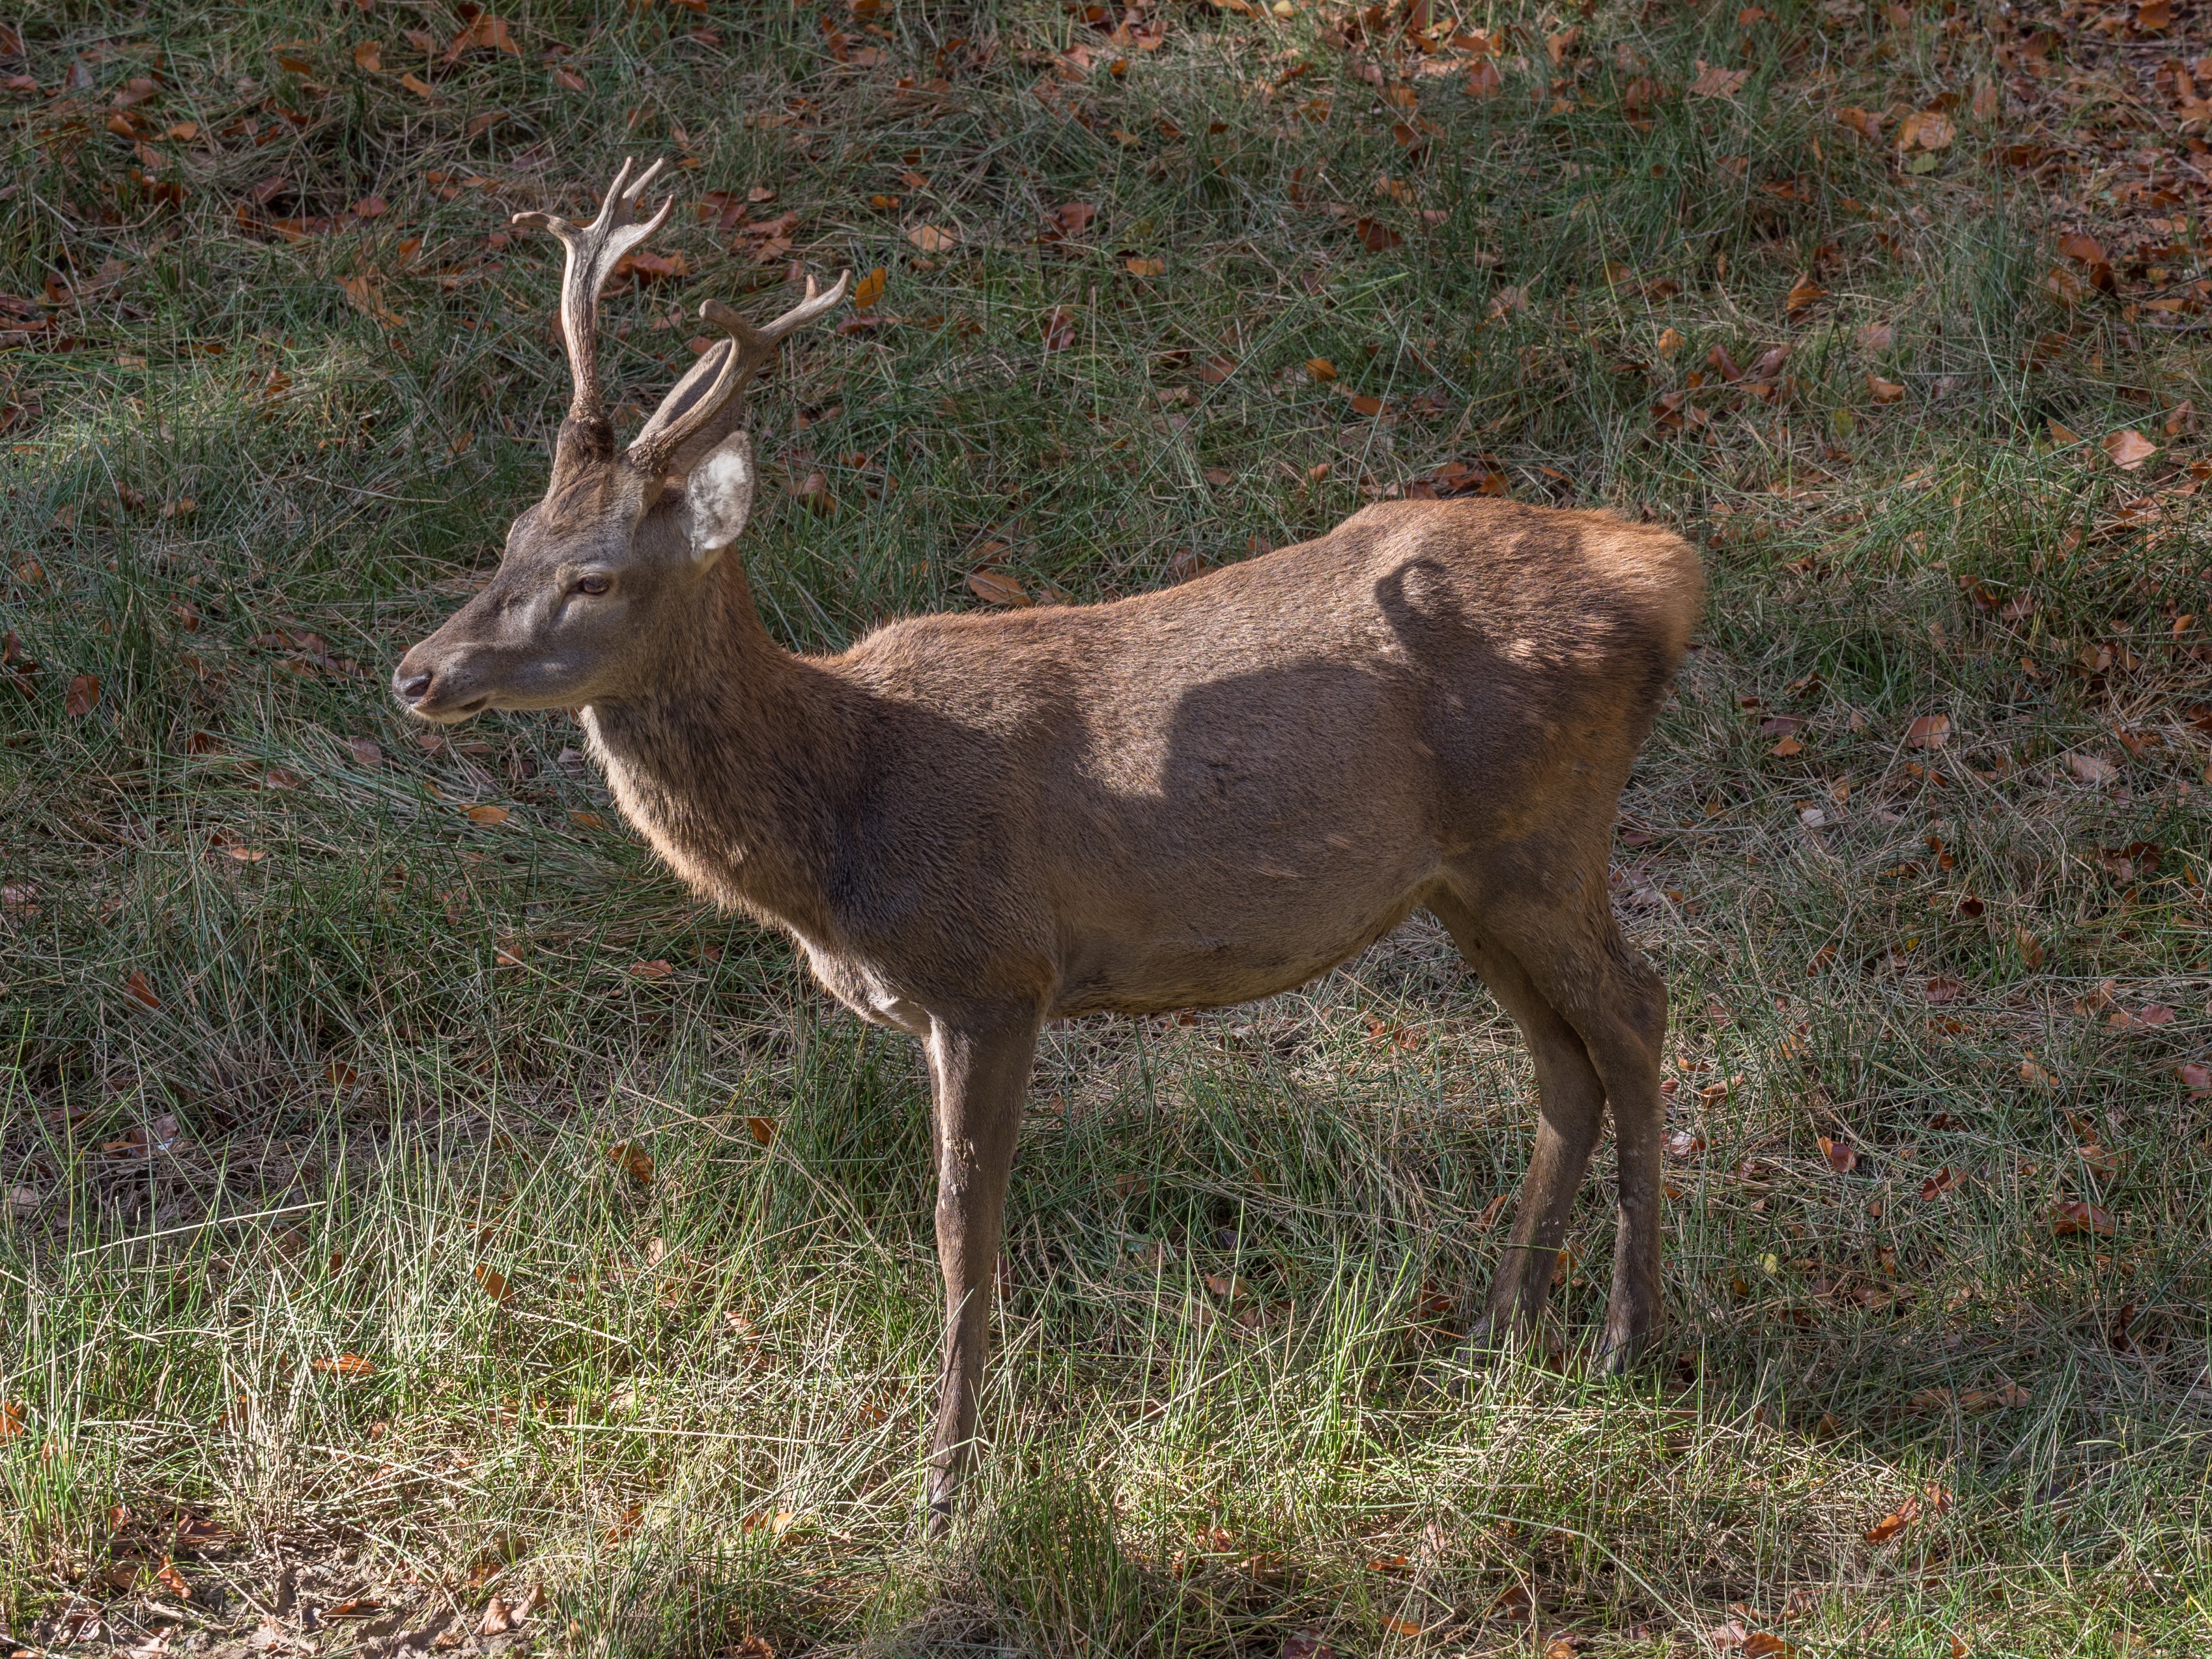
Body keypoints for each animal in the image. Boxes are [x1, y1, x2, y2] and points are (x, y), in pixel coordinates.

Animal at [393, 161, 1704, 1531]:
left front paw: (946, 1486)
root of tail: (1670, 570)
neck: (844, 818)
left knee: (1636, 1011)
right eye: (509, 541)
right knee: (1561, 1062)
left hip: (1542, 832)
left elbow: (959, 1231)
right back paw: (1499, 1328)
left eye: (593, 577)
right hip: (1461, 880)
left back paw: (1627, 1335)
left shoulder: (995, 969)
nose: (417, 673)